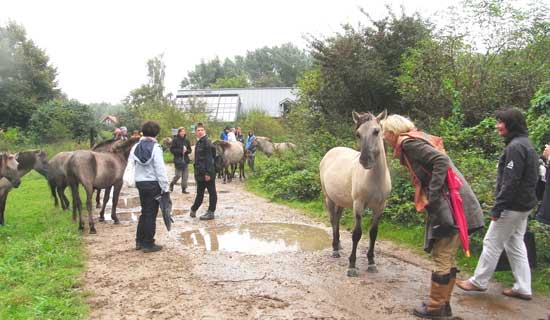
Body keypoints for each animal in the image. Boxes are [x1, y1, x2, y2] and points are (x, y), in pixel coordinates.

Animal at [320, 110, 392, 276]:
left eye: (376, 131)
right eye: (358, 134)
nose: (365, 160)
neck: (374, 179)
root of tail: (331, 151)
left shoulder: (380, 206)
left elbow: (373, 233)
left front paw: (371, 263)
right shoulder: (358, 205)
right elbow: (357, 234)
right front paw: (352, 265)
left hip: (340, 200)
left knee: (337, 219)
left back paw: (339, 244)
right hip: (329, 198)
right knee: (333, 220)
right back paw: (335, 249)